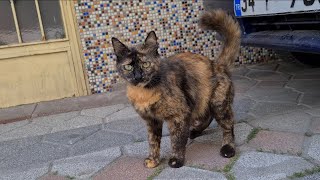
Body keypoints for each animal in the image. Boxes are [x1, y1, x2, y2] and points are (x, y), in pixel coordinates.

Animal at [112, 9, 240, 167]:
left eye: (146, 64)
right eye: (128, 67)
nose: (138, 76)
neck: (144, 93)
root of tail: (217, 64)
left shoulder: (179, 115)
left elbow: (177, 139)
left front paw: (176, 159)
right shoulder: (152, 120)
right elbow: (153, 141)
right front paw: (153, 160)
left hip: (218, 104)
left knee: (228, 126)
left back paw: (228, 148)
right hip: (200, 101)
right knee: (207, 115)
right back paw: (195, 131)